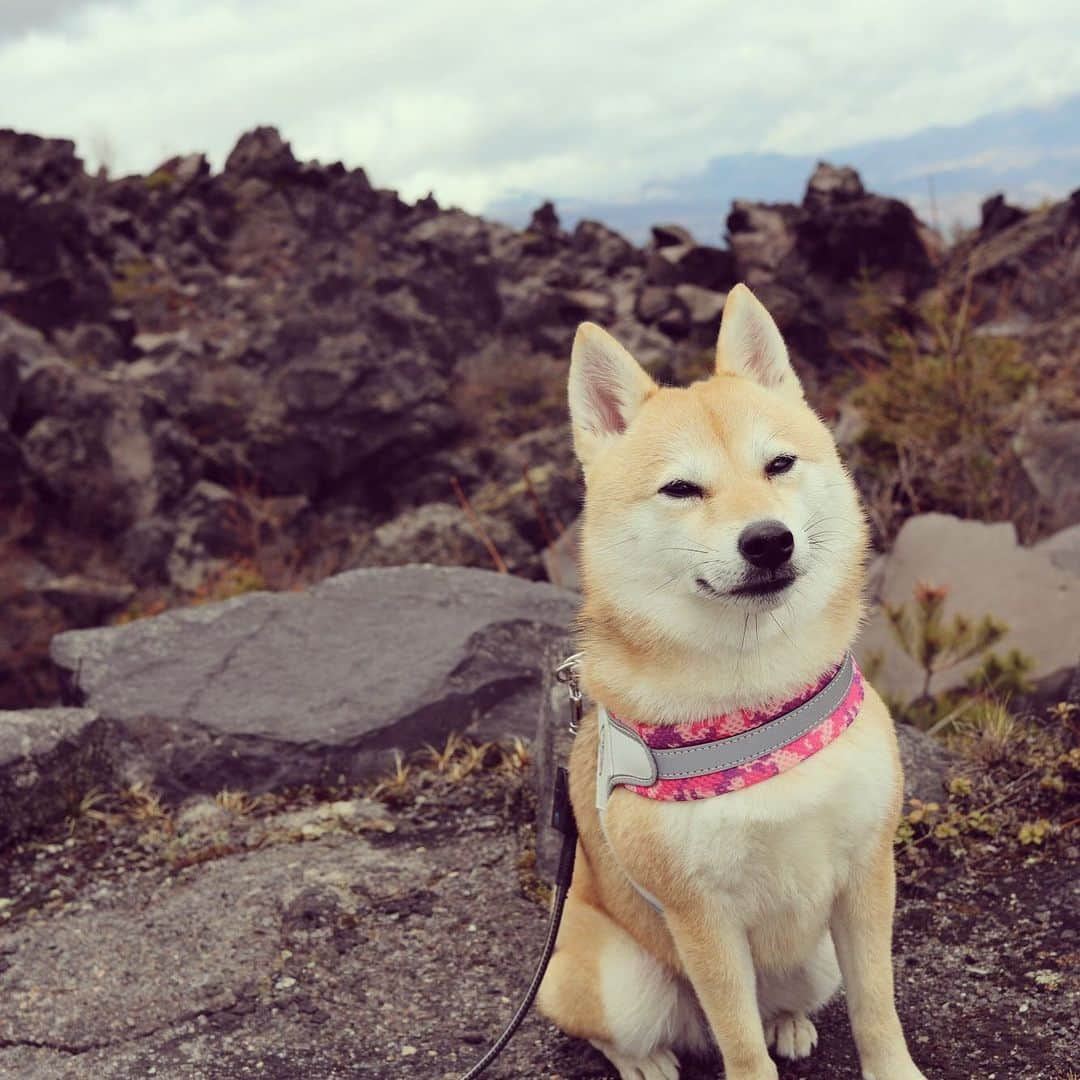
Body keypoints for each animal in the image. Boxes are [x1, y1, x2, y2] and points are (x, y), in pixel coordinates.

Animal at [535, 287, 924, 1080]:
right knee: (621, 1029)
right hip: (615, 976)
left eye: (779, 463)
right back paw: (647, 1061)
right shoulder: (701, 920)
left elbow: (876, 1009)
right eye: (681, 488)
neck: (757, 706)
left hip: (815, 960)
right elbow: (739, 1045)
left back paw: (790, 1021)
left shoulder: (867, 875)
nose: (768, 540)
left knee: (783, 1001)